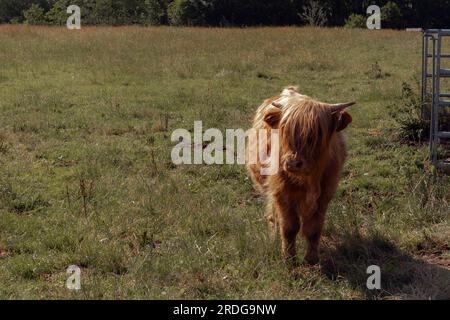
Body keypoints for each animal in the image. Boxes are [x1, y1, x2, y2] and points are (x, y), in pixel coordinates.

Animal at [246, 86, 356, 264]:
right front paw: (288, 258)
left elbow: (314, 228)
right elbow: (289, 227)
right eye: (284, 129)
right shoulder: (281, 192)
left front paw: (311, 259)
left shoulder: (325, 194)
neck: (309, 180)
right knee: (275, 216)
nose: (292, 163)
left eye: (318, 132)